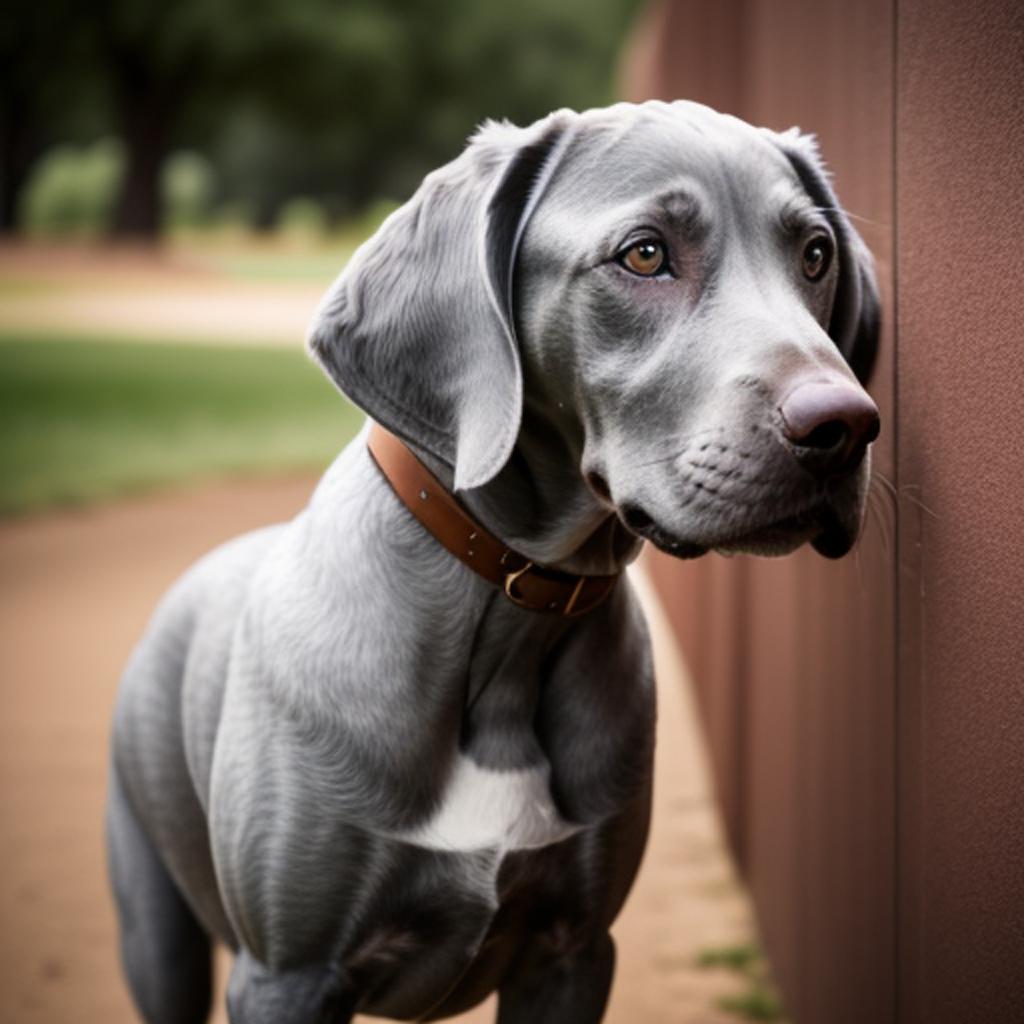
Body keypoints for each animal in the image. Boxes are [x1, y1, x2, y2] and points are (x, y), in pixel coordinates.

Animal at [110, 97, 880, 1024]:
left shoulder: (573, 950)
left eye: (815, 254)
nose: (845, 425)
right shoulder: (287, 975)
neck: (509, 630)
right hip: (158, 926)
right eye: (644, 253)